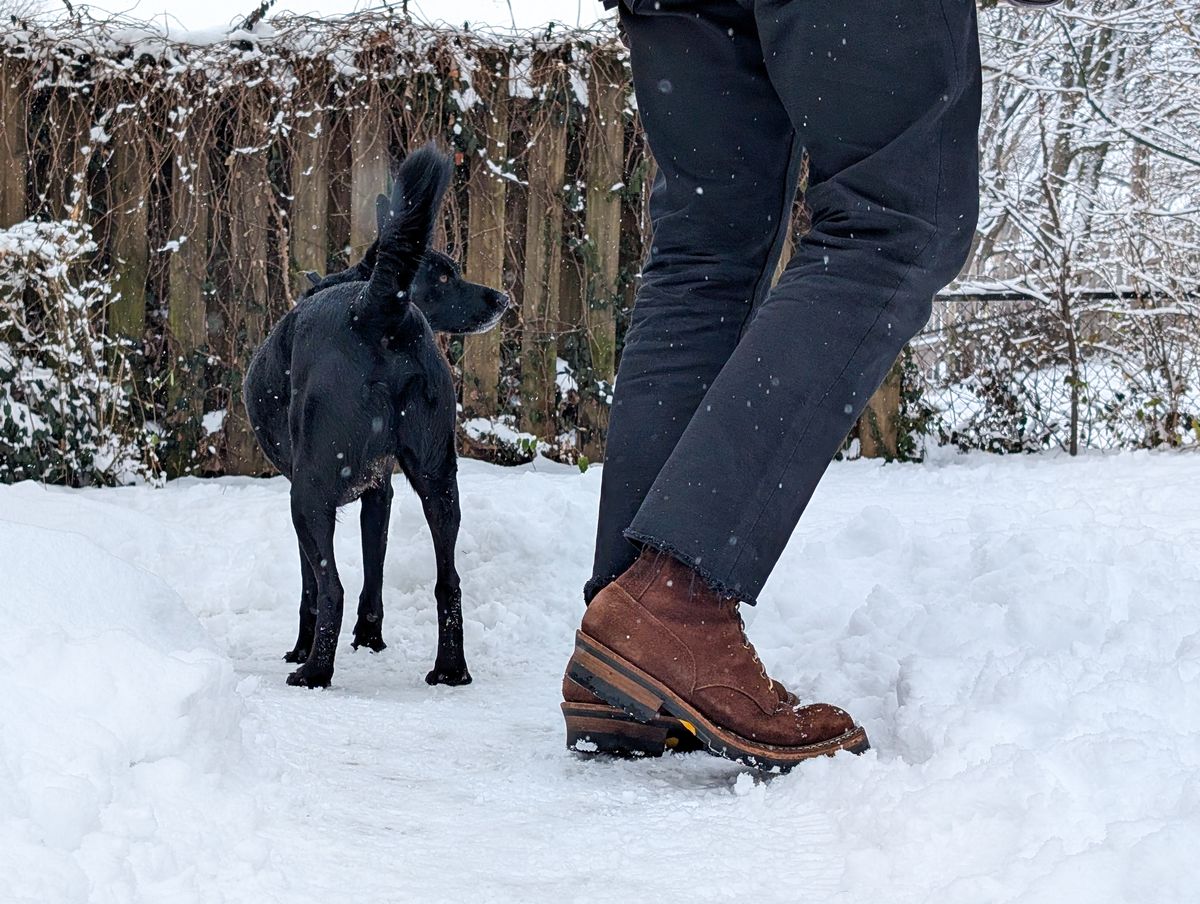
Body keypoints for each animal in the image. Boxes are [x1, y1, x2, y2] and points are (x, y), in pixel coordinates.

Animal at [243, 144, 506, 686]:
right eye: (444, 276)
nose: (503, 299)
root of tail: (376, 309)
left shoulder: (315, 494)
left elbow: (313, 585)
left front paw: (301, 649)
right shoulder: (380, 492)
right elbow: (375, 568)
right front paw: (370, 638)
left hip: (308, 494)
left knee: (332, 589)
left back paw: (314, 672)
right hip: (439, 479)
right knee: (448, 581)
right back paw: (450, 670)